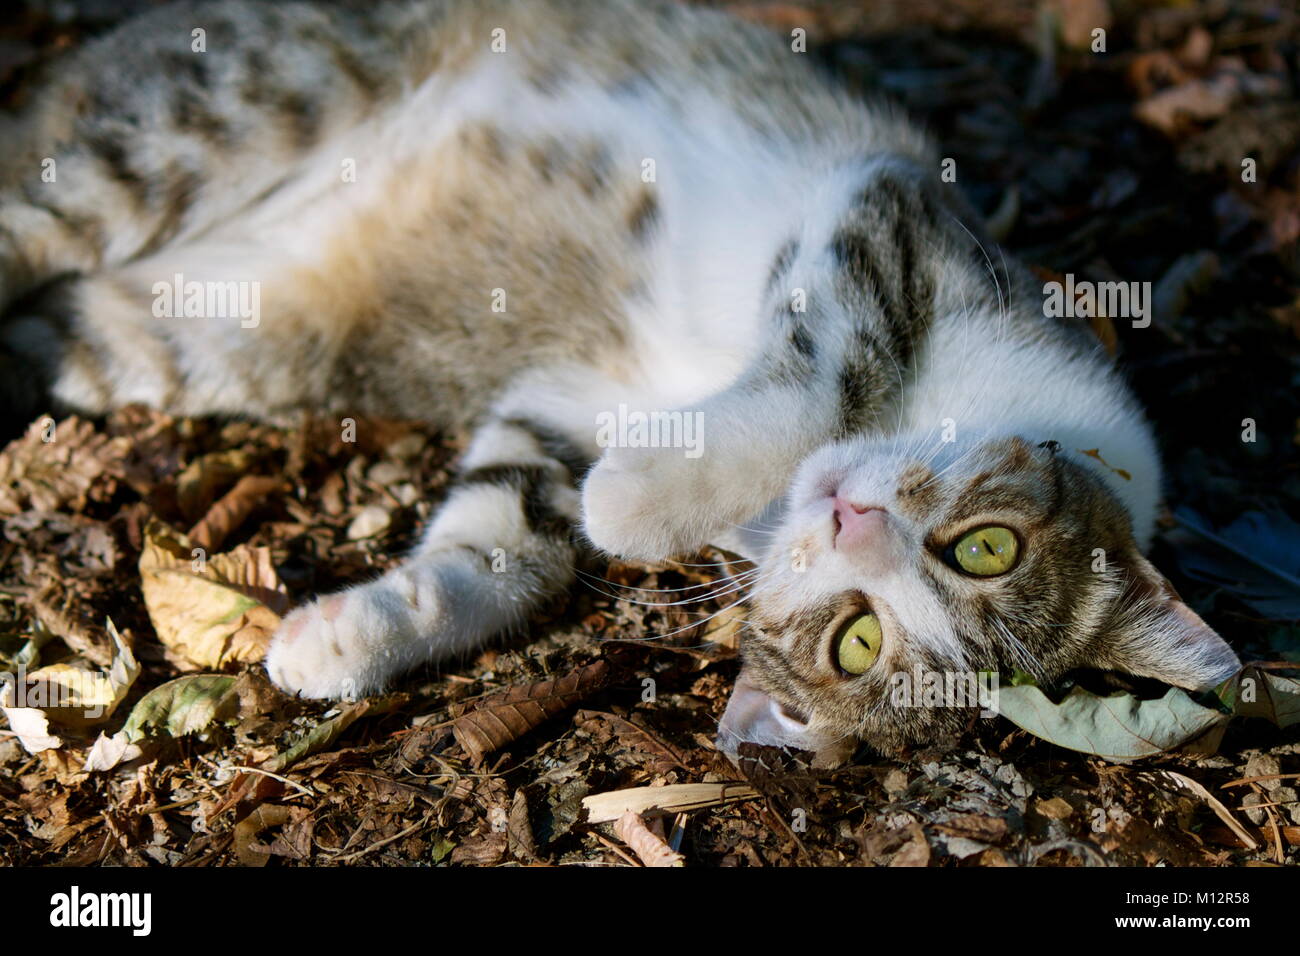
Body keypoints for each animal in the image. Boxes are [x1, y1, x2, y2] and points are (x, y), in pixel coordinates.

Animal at [0, 0, 1237, 764]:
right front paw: (642, 498)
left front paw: (353, 636)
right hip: (226, 110)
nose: (852, 515)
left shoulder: (565, 402)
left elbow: (514, 539)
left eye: (856, 641)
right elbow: (824, 373)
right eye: (984, 546)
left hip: (212, 333)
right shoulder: (887, 216)